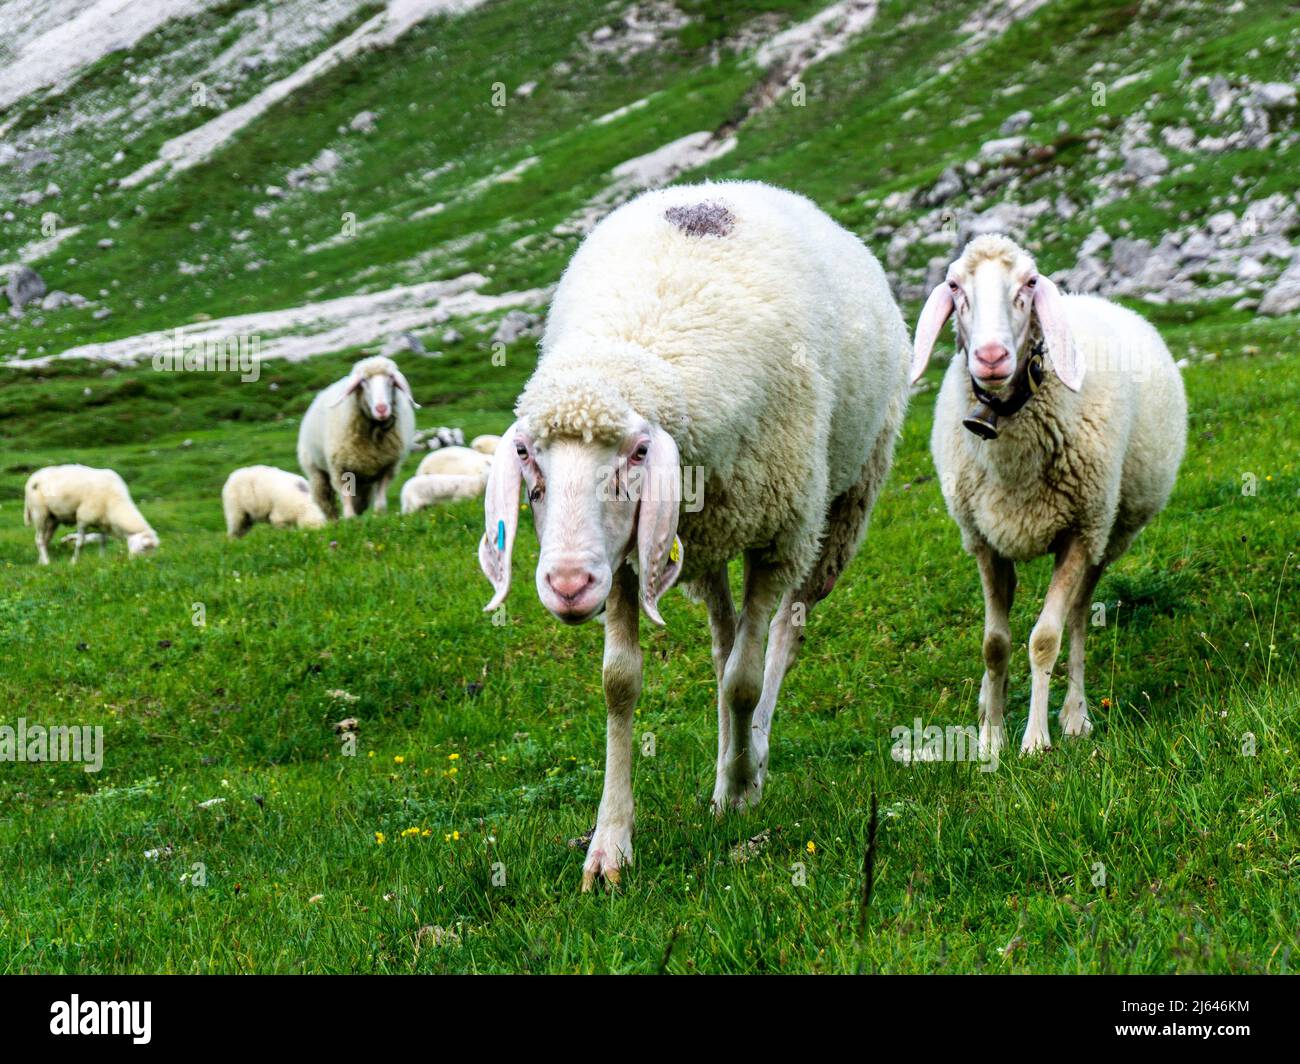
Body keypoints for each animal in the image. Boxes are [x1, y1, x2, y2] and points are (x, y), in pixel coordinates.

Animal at [23, 463, 159, 564]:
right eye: (144, 548)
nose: (144, 564)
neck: (114, 501)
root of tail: (33, 477)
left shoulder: (104, 522)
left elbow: (103, 541)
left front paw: (102, 559)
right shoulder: (83, 518)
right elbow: (80, 543)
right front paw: (74, 562)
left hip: (53, 519)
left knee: (46, 539)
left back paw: (41, 562)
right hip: (39, 512)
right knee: (39, 539)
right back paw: (47, 562)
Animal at [295, 351, 416, 517]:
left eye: (391, 378)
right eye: (363, 381)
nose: (381, 409)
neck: (374, 430)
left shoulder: (388, 466)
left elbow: (380, 500)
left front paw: (379, 515)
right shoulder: (339, 468)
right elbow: (345, 497)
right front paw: (349, 518)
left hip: (362, 480)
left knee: (360, 501)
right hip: (316, 472)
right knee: (326, 501)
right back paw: (334, 519)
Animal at [478, 180, 915, 889]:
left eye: (636, 453)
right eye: (526, 456)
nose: (568, 584)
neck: (650, 336)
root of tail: (738, 186)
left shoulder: (780, 535)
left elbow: (745, 679)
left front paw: (739, 787)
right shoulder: (626, 560)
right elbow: (620, 683)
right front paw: (610, 844)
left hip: (839, 505)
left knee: (781, 635)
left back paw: (750, 755)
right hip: (697, 541)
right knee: (723, 638)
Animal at [909, 236, 1190, 759]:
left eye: (1029, 283)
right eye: (954, 285)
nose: (992, 356)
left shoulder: (1079, 532)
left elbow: (1045, 639)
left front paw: (1035, 740)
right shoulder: (984, 540)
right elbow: (994, 644)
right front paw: (990, 739)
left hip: (1107, 533)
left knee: (1079, 615)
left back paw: (1075, 715)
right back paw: (990, 702)